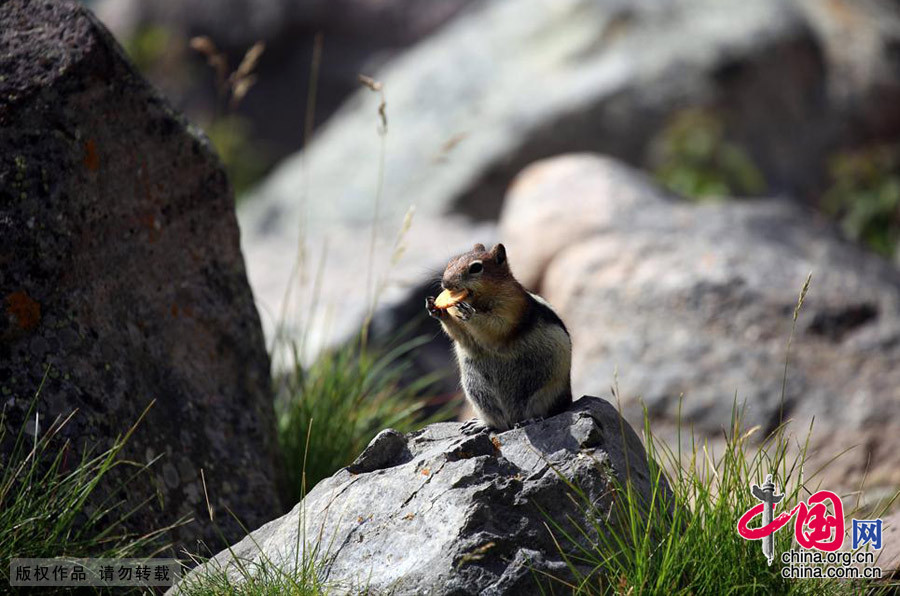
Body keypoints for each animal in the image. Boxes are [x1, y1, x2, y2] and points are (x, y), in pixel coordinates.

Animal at [426, 243, 572, 434]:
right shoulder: (466, 335)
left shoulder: (512, 306)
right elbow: (462, 336)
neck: (478, 301)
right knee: (499, 423)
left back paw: (530, 420)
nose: (446, 283)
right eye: (451, 261)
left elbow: (497, 327)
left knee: (540, 411)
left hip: (545, 392)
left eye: (476, 268)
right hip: (478, 393)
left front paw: (469, 313)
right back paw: (480, 424)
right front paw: (436, 309)